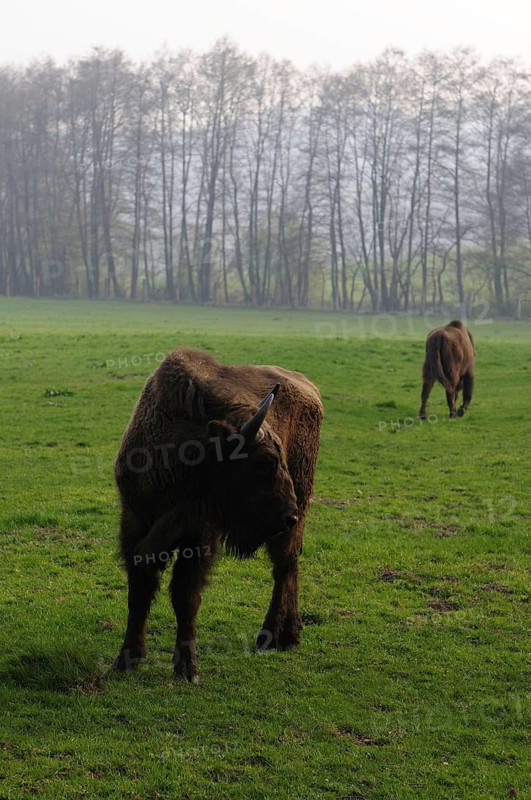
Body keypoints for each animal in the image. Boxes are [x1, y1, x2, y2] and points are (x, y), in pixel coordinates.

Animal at [112, 347, 323, 682]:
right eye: (264, 461)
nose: (287, 515)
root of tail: (309, 388)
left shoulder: (198, 537)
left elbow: (185, 597)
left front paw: (187, 669)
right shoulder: (135, 525)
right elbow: (139, 592)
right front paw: (127, 658)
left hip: (297, 508)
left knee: (284, 566)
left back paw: (272, 637)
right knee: (290, 566)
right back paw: (290, 635)